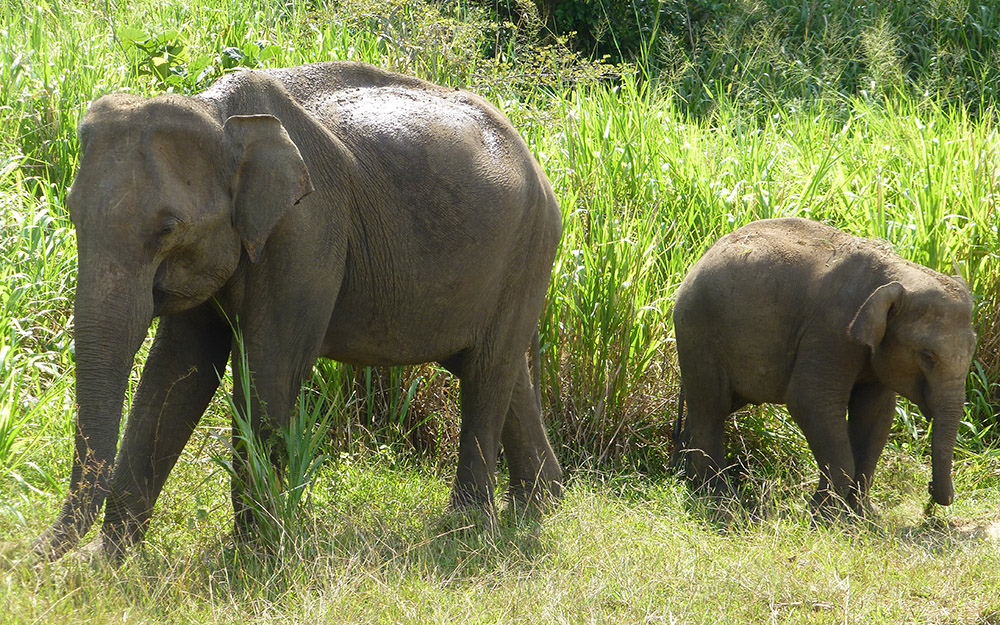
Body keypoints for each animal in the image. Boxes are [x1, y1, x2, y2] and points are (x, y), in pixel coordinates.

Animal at [35, 62, 564, 560]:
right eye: (71, 211)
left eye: (167, 227)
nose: (28, 558)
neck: (218, 113)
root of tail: (536, 163)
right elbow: (176, 371)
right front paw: (104, 562)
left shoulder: (306, 231)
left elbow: (269, 372)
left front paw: (251, 556)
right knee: (495, 369)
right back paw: (539, 503)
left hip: (530, 247)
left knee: (487, 374)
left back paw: (466, 526)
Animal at [672, 217, 976, 516]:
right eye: (927, 356)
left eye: (972, 349)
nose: (931, 495)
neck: (897, 274)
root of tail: (699, 260)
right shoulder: (831, 329)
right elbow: (811, 401)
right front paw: (825, 515)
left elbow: (876, 414)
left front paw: (863, 514)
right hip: (698, 332)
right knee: (711, 407)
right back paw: (720, 500)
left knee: (717, 405)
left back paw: (687, 479)